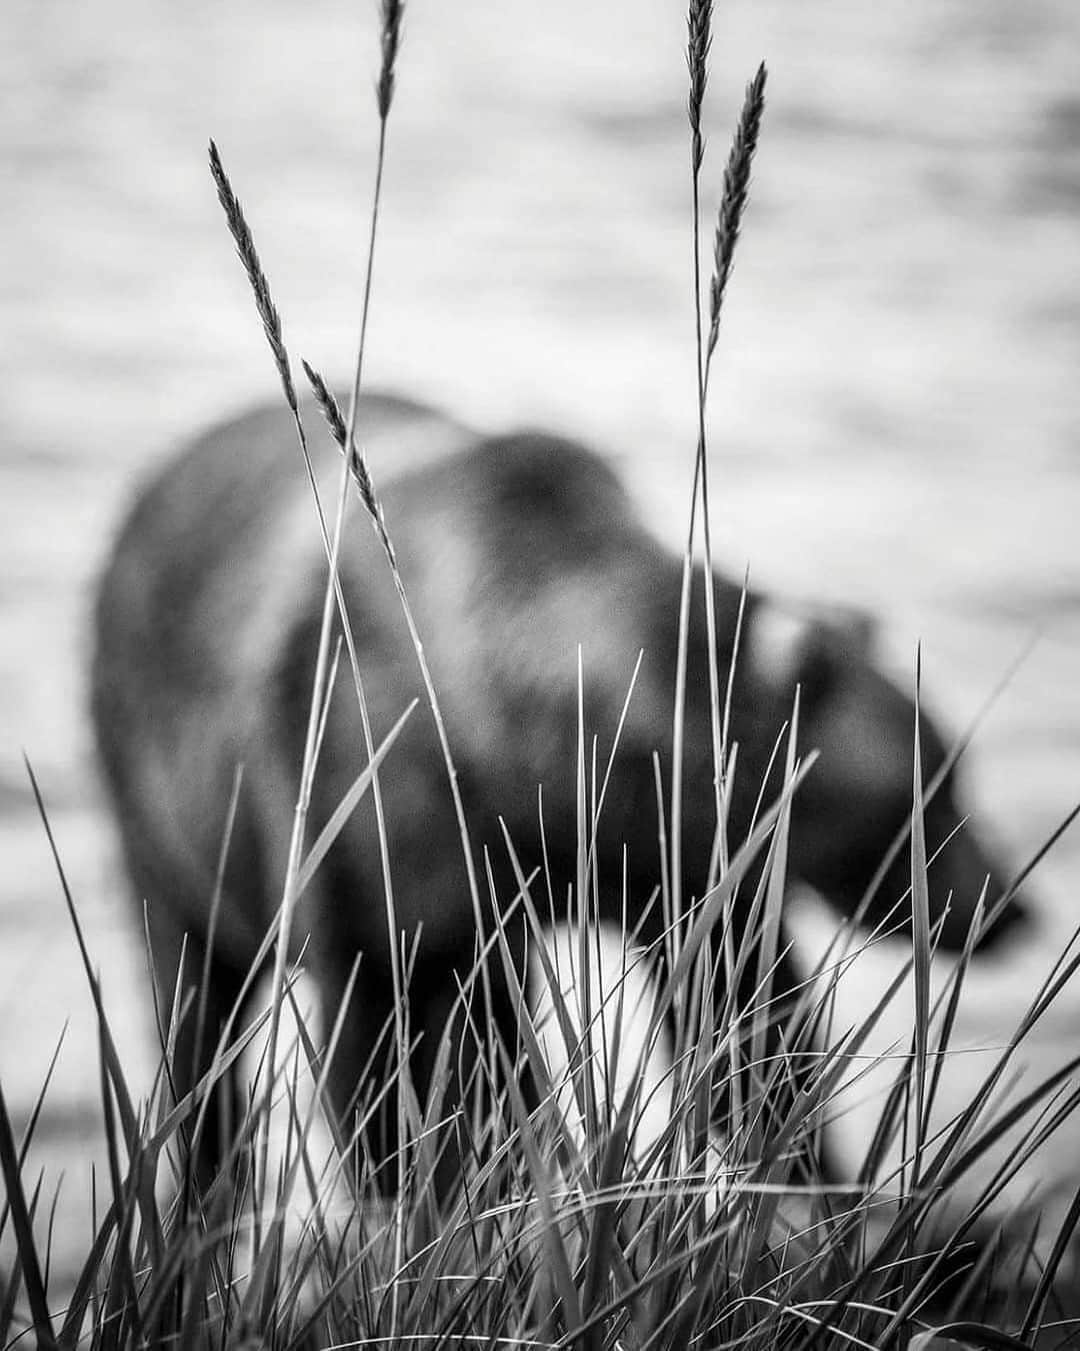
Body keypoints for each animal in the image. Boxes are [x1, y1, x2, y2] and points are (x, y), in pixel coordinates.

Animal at [88, 389, 1027, 1194]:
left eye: (957, 769)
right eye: (931, 791)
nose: (1013, 907)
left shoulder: (677, 865)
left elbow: (749, 1024)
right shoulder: (379, 834)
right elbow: (393, 1070)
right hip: (162, 808)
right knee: (194, 1012)